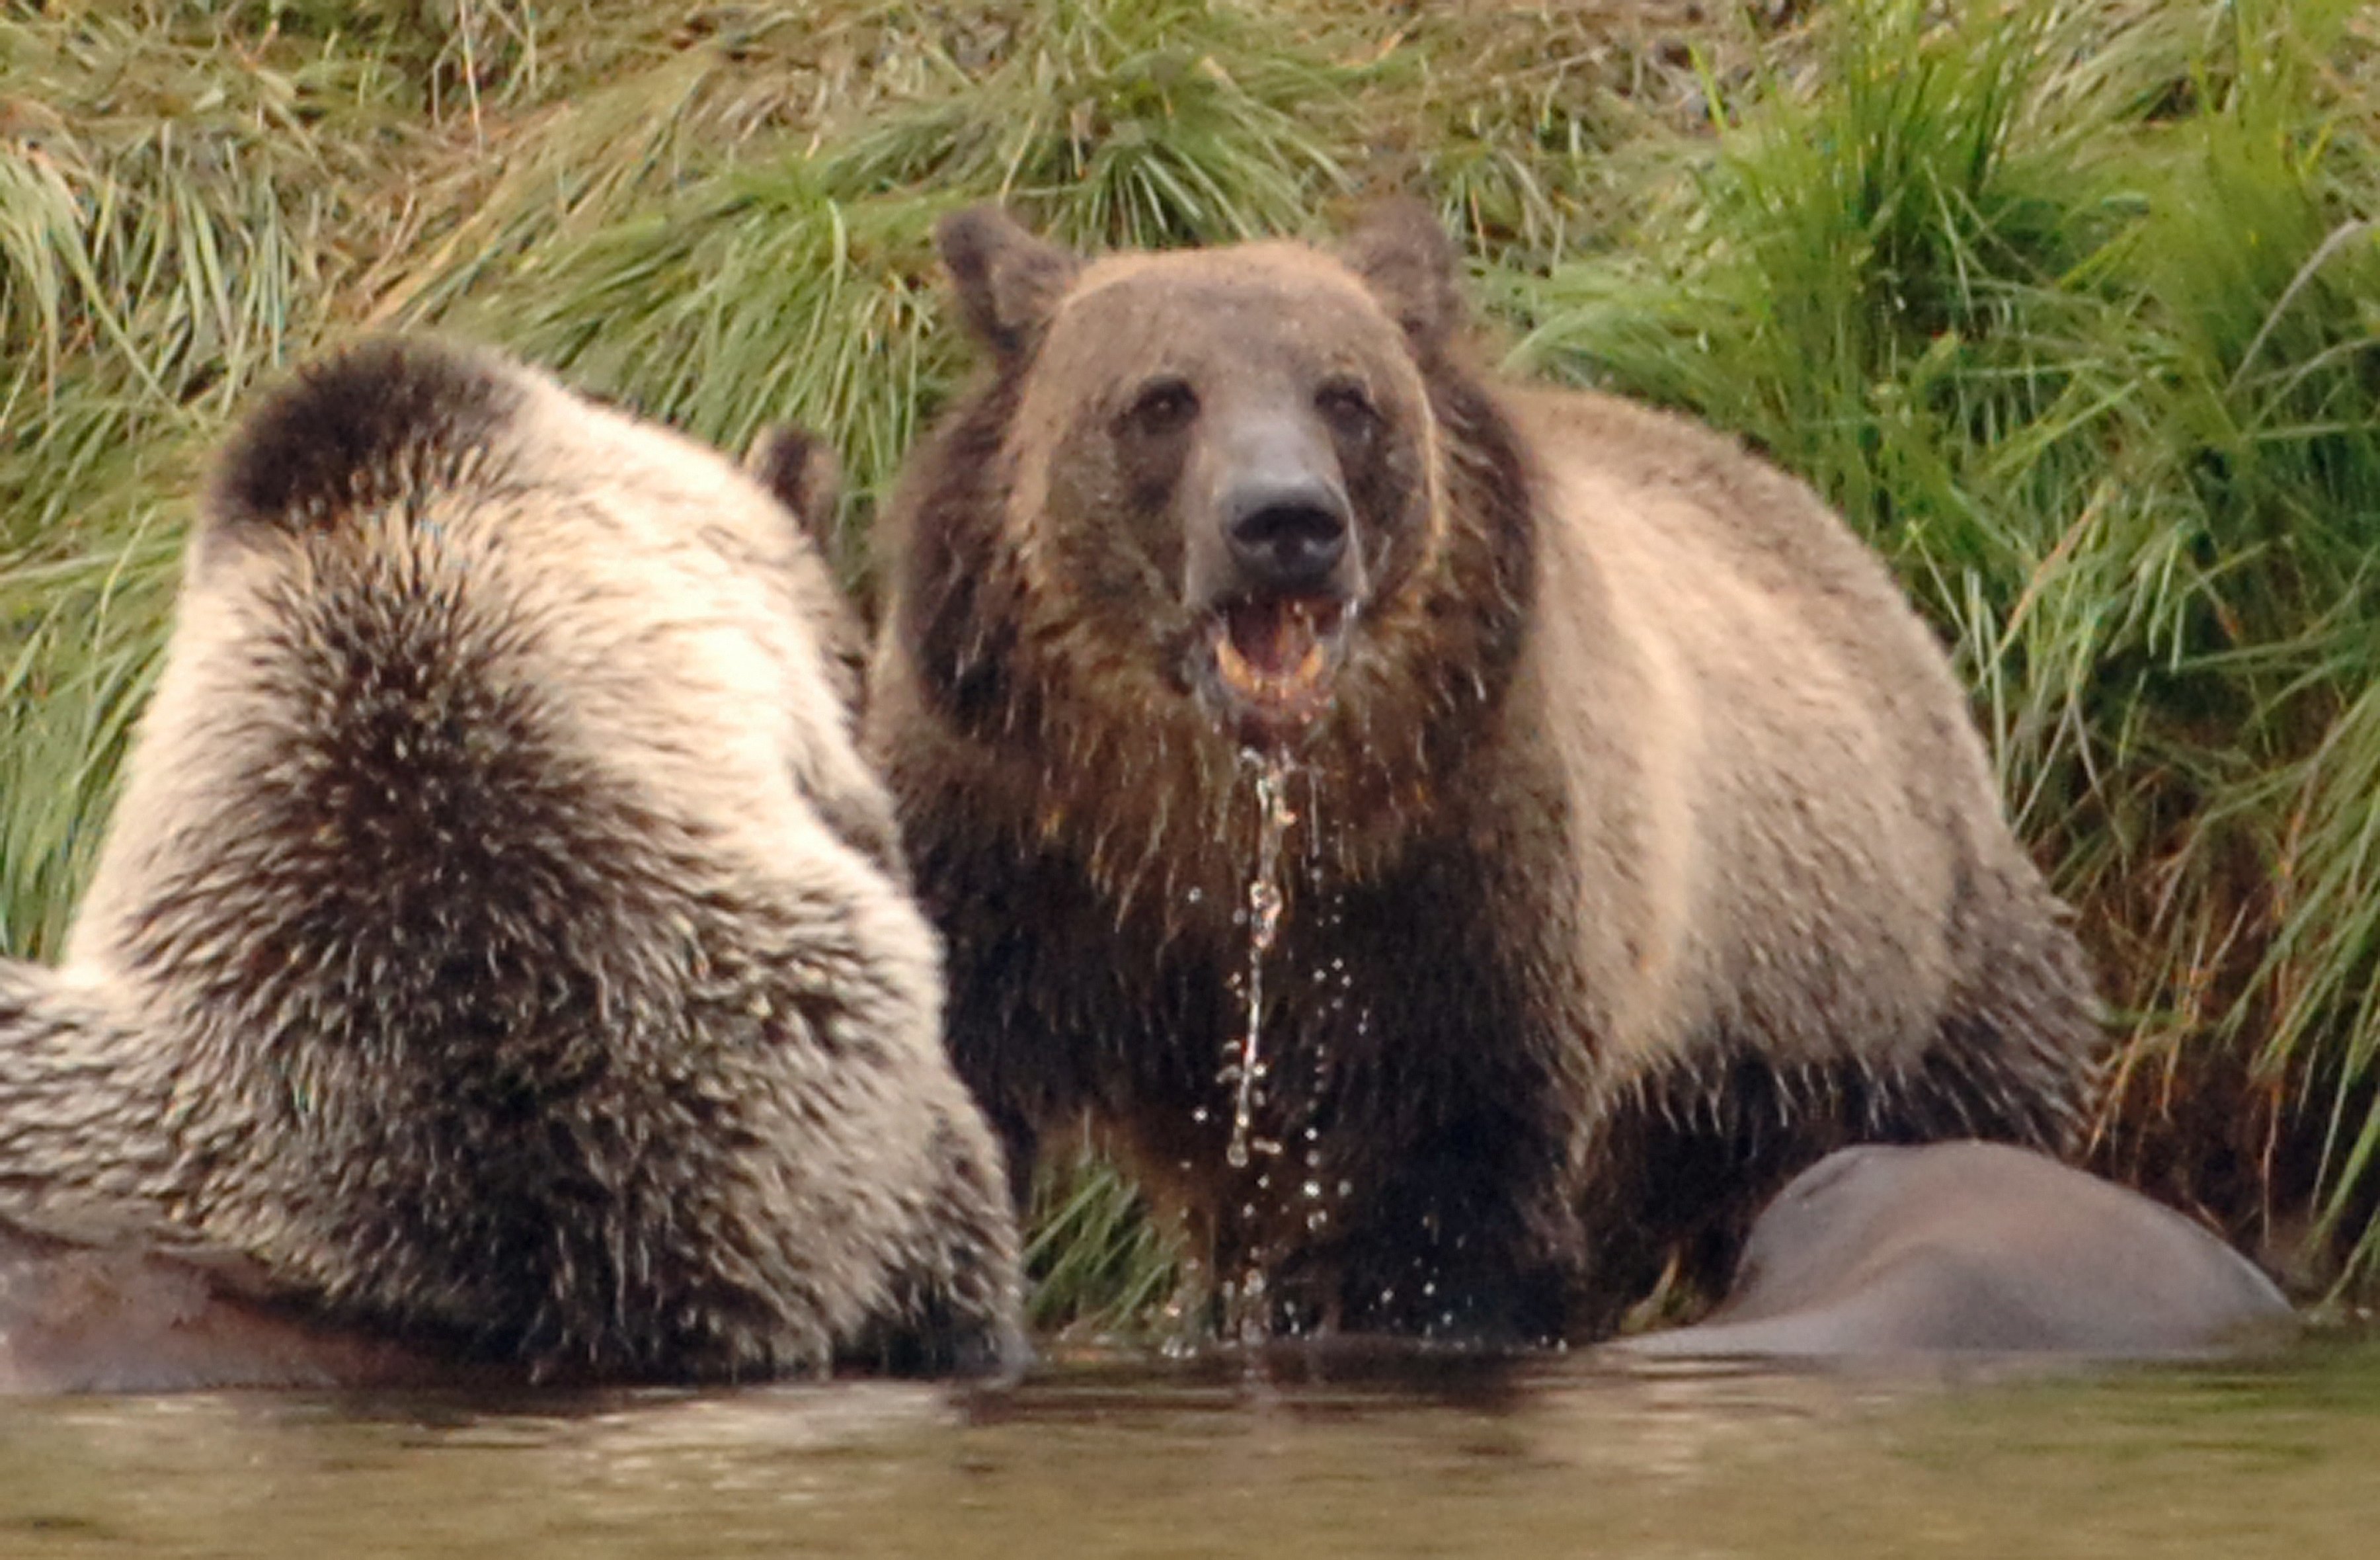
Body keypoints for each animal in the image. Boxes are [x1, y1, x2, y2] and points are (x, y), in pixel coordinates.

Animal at [861, 201, 2104, 1343]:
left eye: (1346, 396)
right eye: (1162, 398)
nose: (1286, 521)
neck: (1215, 811)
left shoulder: (1458, 884)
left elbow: (1443, 1203)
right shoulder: (1012, 849)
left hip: (1875, 978)